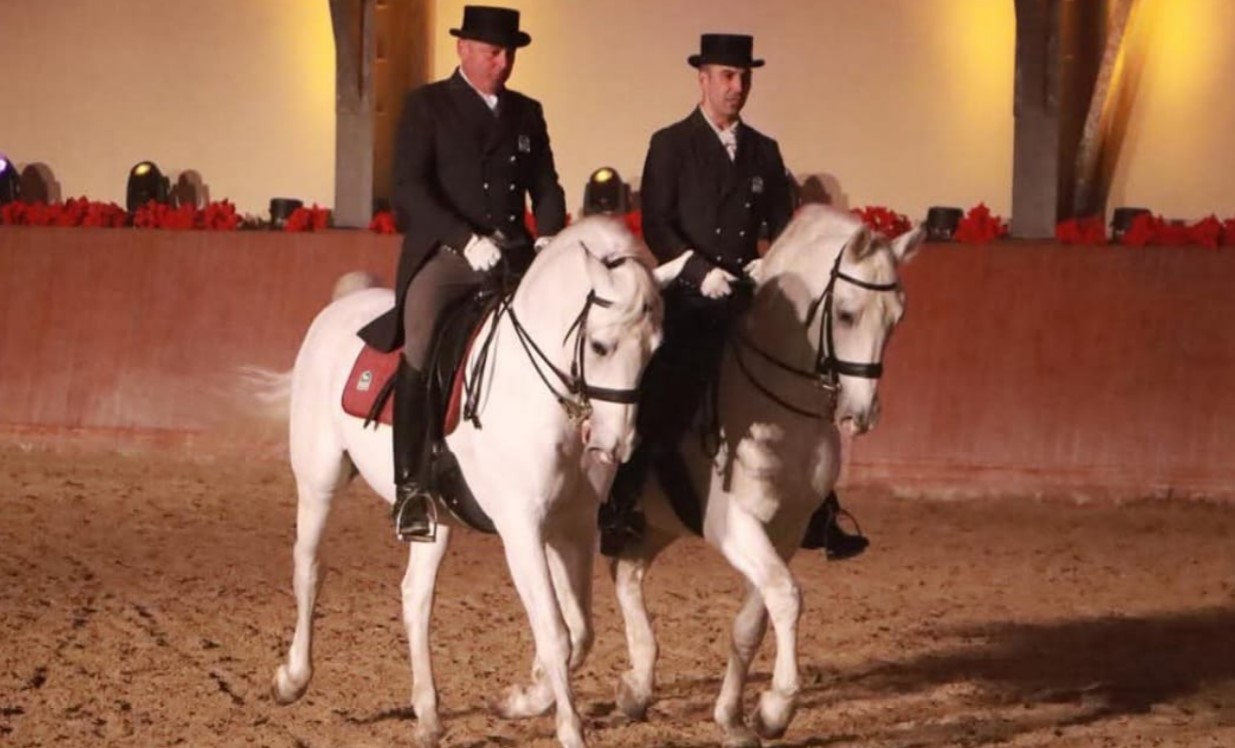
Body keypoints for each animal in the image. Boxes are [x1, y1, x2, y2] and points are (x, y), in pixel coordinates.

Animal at [262, 216, 663, 748]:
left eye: (654, 351)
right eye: (601, 346)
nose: (616, 443)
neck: (534, 392)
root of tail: (340, 306)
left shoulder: (572, 527)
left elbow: (578, 632)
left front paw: (521, 699)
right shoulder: (521, 529)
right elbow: (554, 632)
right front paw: (567, 728)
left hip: (436, 519)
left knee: (415, 597)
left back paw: (428, 716)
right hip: (318, 481)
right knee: (309, 569)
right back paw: (292, 679)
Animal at [607, 204, 924, 747]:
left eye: (896, 318)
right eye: (846, 314)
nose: (860, 415)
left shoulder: (786, 529)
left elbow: (754, 620)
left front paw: (736, 718)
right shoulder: (736, 525)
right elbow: (787, 596)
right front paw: (777, 706)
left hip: (656, 521)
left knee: (626, 574)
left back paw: (636, 689)